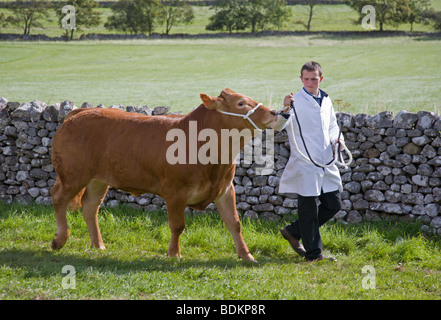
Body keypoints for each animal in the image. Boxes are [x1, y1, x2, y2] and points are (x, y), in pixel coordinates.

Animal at [49, 87, 280, 260]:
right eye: (241, 103)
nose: (275, 113)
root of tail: (78, 113)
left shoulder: (225, 188)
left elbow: (234, 223)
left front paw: (246, 255)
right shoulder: (175, 191)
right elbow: (177, 226)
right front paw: (174, 254)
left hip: (98, 179)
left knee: (90, 206)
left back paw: (98, 245)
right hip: (73, 174)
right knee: (58, 197)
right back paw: (59, 240)